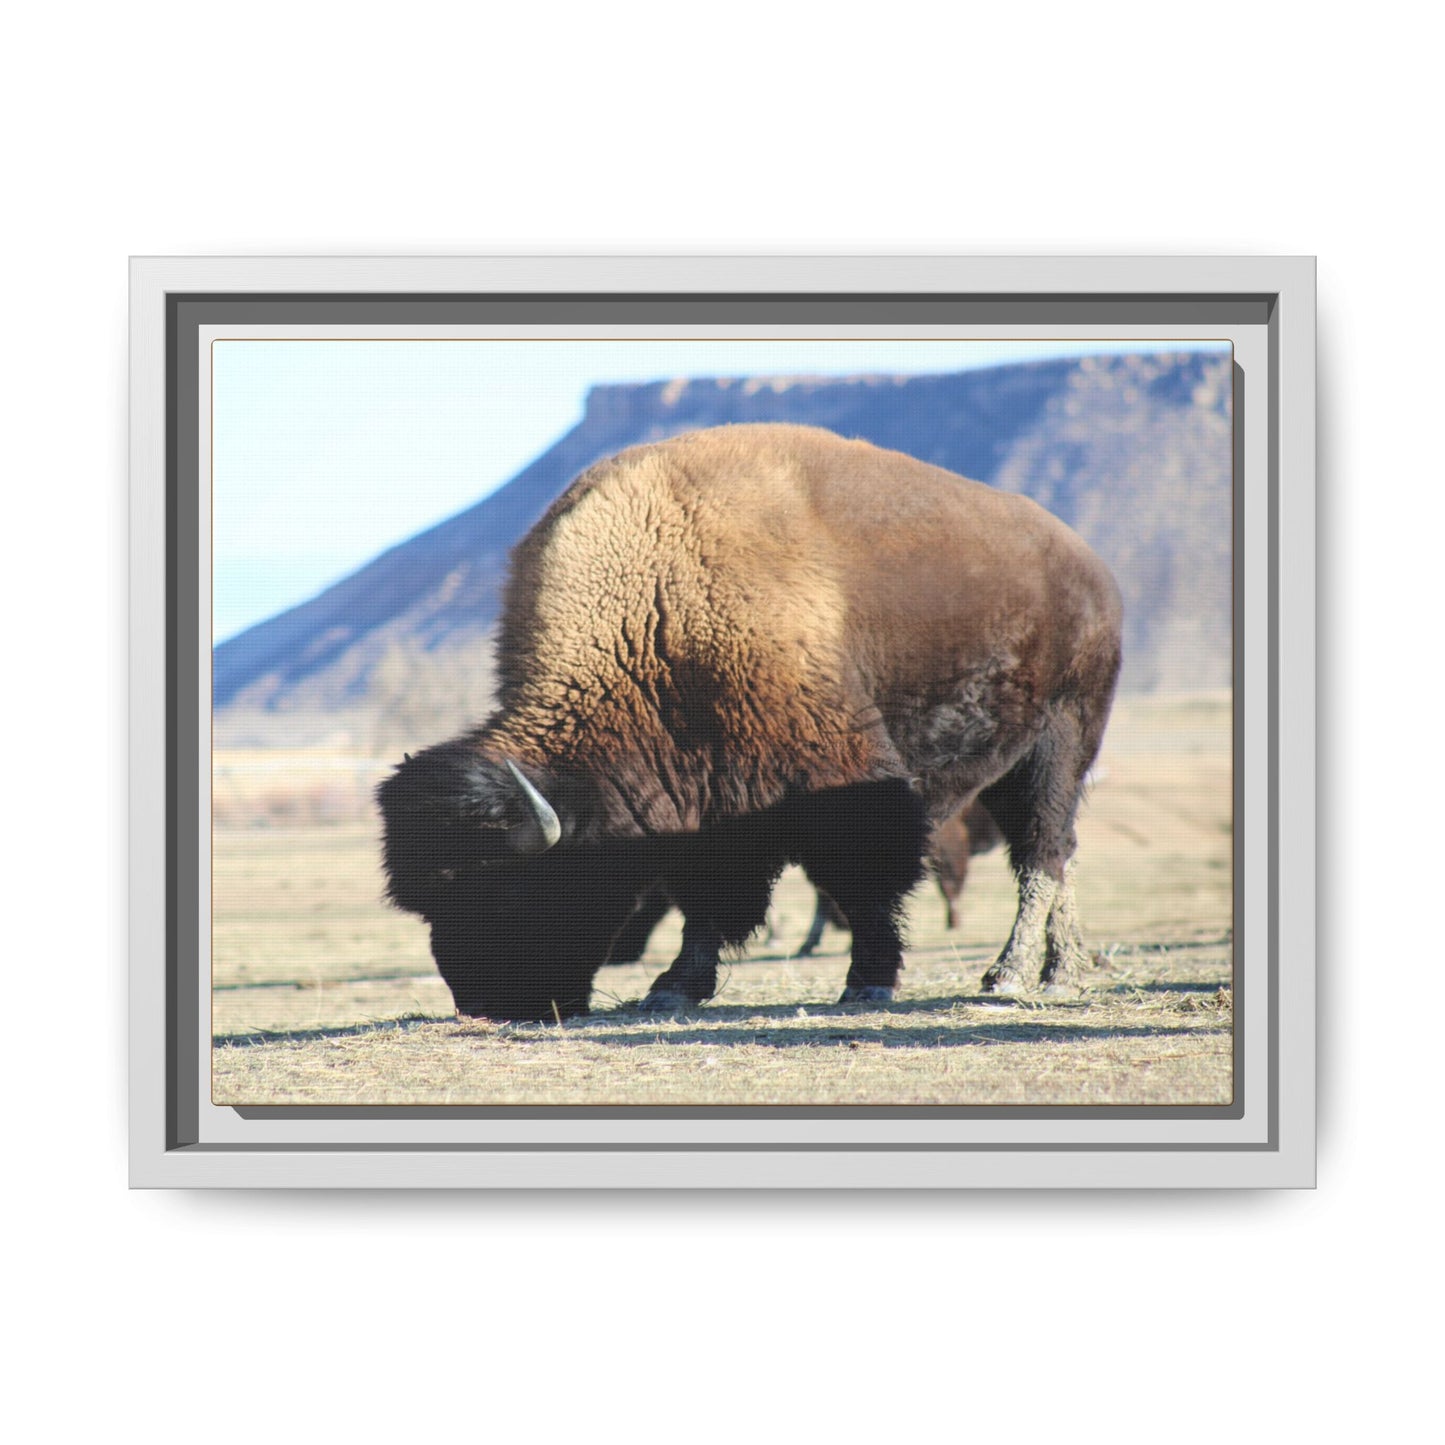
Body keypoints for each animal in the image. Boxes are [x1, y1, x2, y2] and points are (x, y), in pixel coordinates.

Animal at [378, 423, 1122, 1021]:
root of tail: (1090, 568)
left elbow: (863, 881)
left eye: (505, 888)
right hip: (1011, 763)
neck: (657, 611)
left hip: (1060, 742)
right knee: (1055, 853)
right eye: (429, 904)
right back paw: (1061, 968)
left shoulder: (840, 779)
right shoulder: (704, 804)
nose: (486, 1003)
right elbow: (706, 898)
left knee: (1042, 852)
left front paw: (868, 982)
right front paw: (673, 988)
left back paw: (1016, 975)